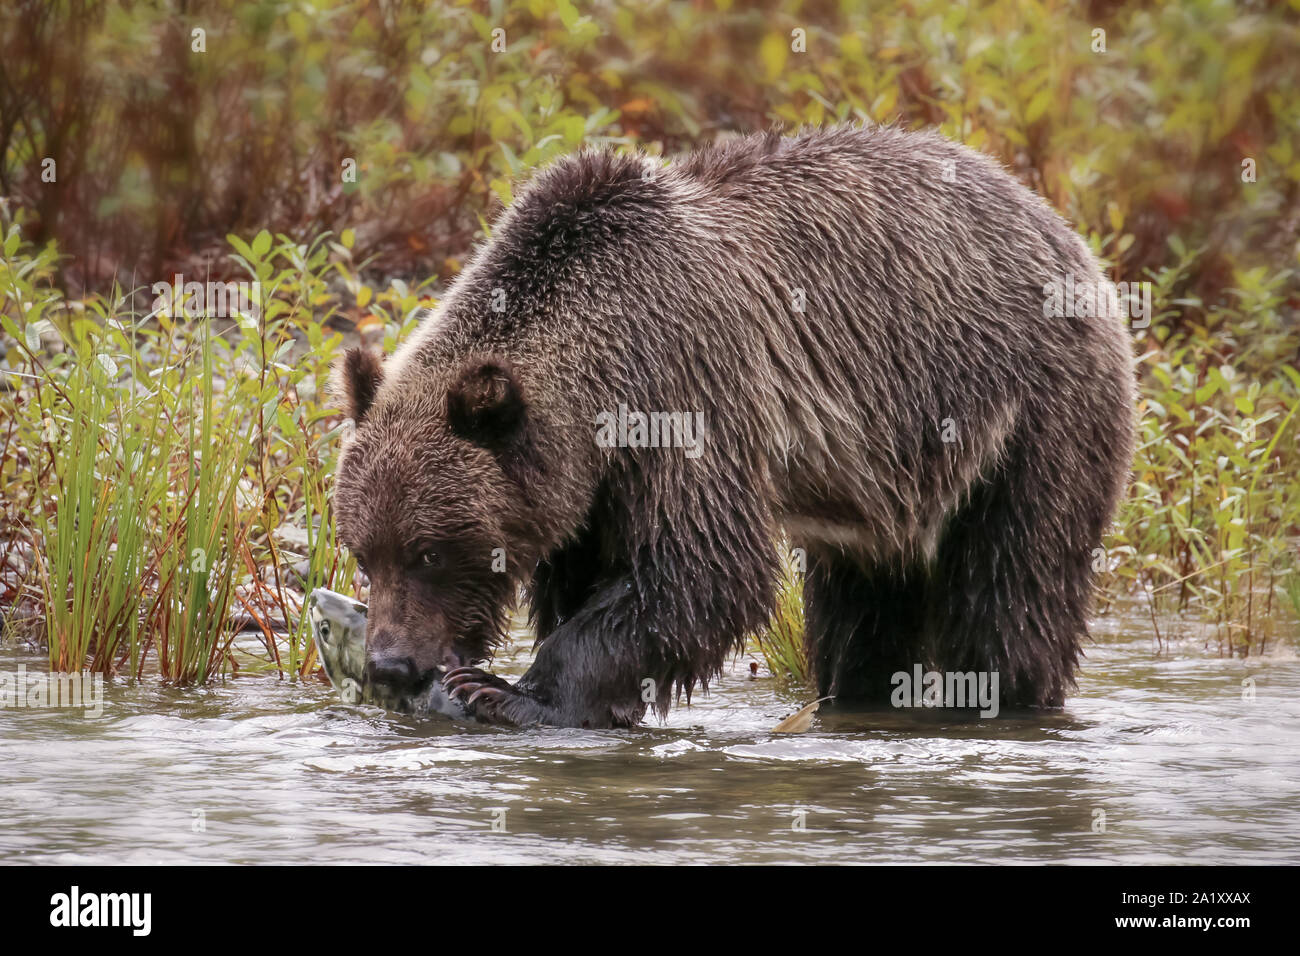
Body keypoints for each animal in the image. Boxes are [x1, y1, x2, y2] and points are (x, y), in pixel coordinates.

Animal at [335, 123, 1138, 728]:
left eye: (430, 552)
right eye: (363, 552)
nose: (389, 666)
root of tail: (1061, 226)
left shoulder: (687, 388)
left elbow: (707, 568)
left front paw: (509, 692)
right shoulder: (591, 483)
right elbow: (592, 572)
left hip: (1026, 412)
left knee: (1014, 585)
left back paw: (1007, 699)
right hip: (891, 483)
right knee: (860, 611)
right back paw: (858, 698)